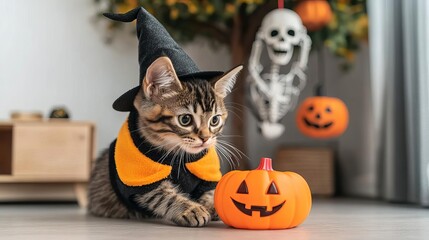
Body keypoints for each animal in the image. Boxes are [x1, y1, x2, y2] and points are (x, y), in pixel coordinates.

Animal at [88, 56, 241, 227]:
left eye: (215, 120)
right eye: (185, 119)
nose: (205, 138)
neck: (178, 154)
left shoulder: (207, 173)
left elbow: (210, 192)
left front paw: (213, 204)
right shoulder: (141, 179)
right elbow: (163, 196)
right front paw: (191, 209)